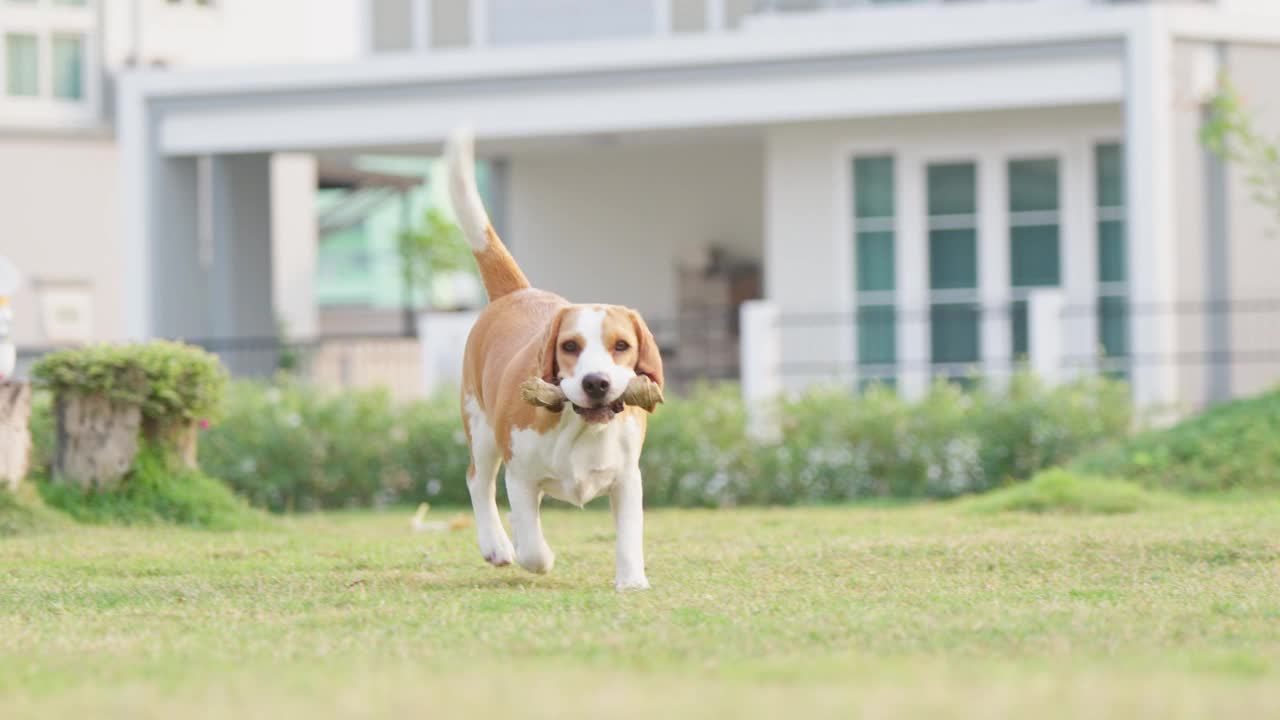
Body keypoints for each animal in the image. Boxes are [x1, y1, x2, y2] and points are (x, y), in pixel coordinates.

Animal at [448, 128, 665, 589]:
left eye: (622, 345)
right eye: (570, 346)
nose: (596, 383)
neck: (579, 427)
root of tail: (517, 292)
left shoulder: (628, 478)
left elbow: (629, 534)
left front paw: (631, 581)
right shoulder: (520, 476)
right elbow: (532, 546)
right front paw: (538, 556)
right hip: (481, 427)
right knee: (478, 481)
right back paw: (497, 544)